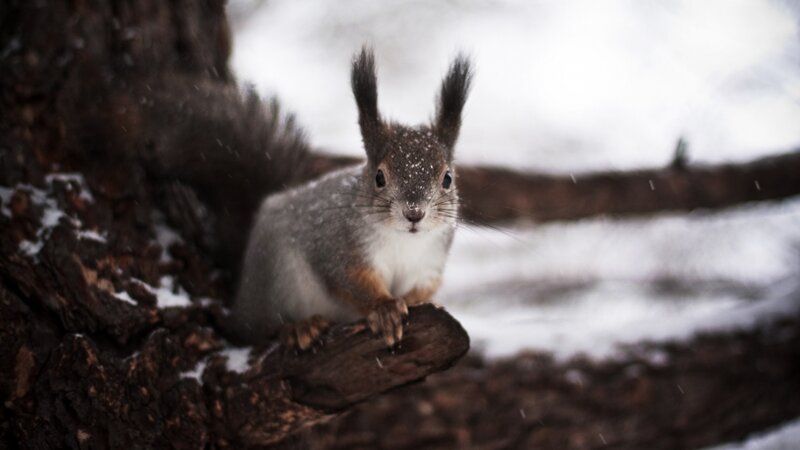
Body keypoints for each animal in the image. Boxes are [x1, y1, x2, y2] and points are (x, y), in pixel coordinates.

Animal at [229, 47, 473, 348]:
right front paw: (385, 309)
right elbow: (350, 282)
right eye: (379, 177)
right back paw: (298, 327)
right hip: (274, 276)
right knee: (258, 329)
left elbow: (422, 290)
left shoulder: (429, 266)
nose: (414, 213)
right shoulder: (339, 248)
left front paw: (416, 303)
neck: (404, 242)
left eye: (447, 178)